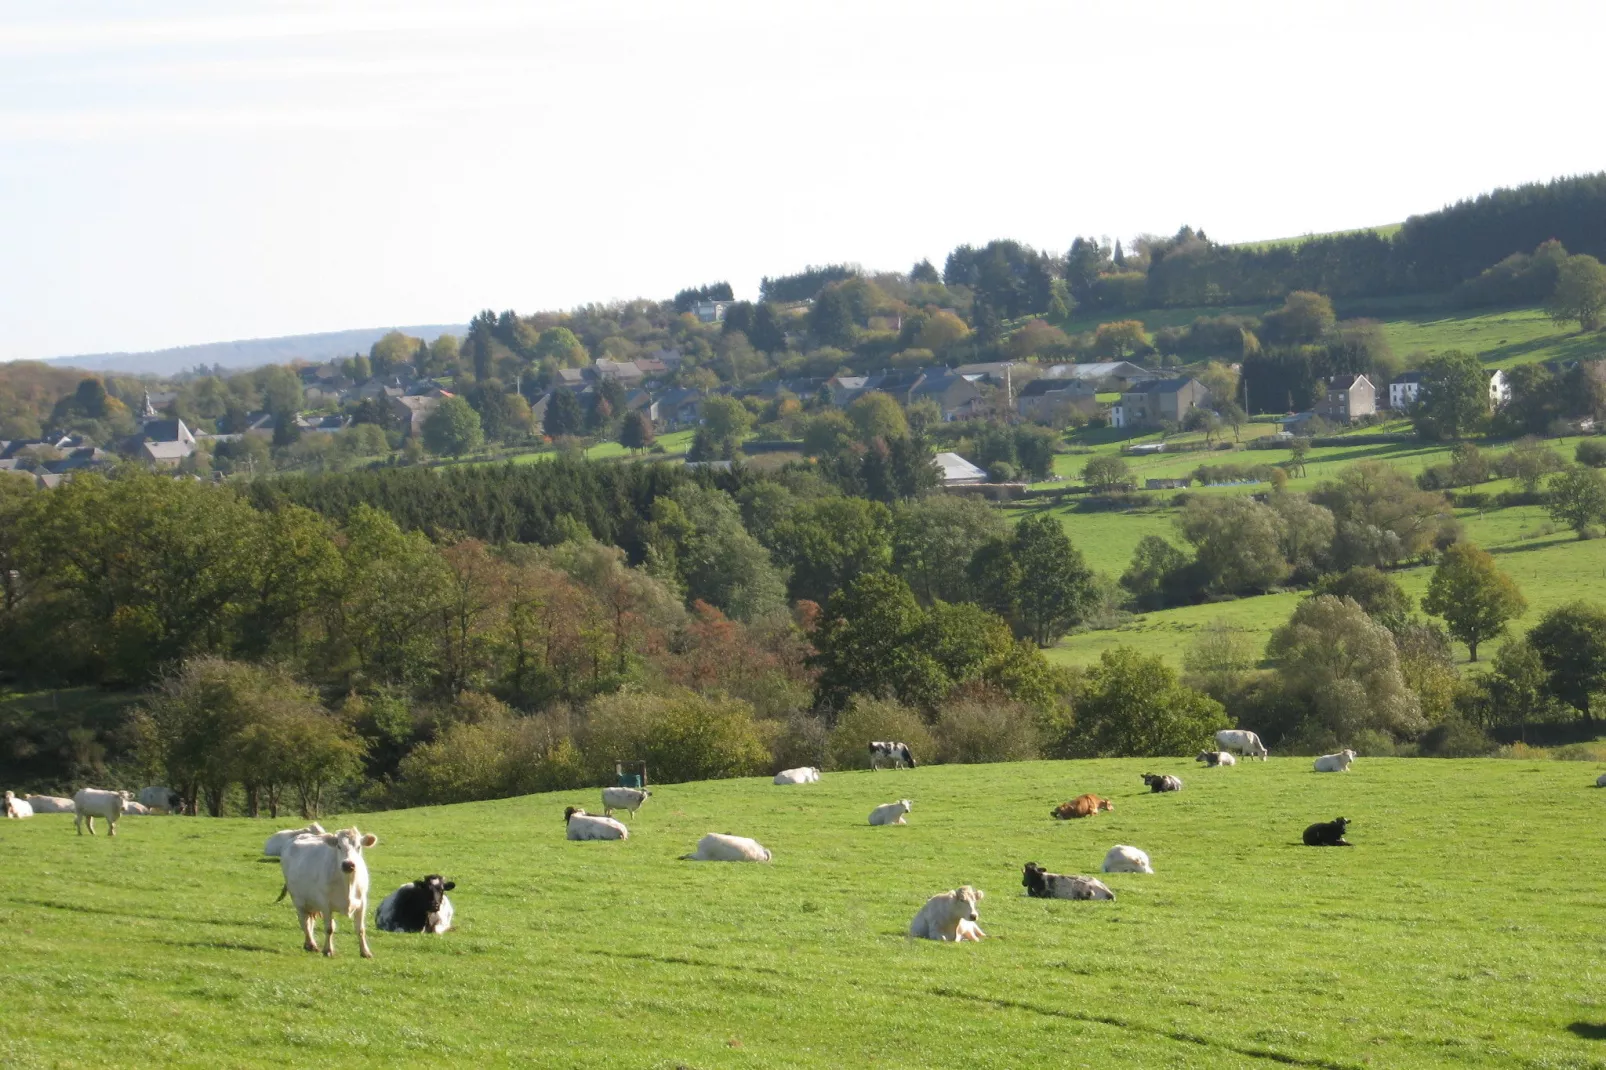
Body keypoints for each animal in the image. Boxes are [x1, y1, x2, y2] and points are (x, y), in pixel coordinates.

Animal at [276, 822, 379, 957]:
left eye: (358, 847)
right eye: (339, 846)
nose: (348, 864)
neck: (348, 884)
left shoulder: (362, 902)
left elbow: (360, 929)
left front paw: (365, 952)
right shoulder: (325, 904)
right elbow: (329, 928)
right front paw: (328, 950)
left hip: (311, 902)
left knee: (310, 922)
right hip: (298, 900)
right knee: (304, 922)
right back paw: (311, 944)